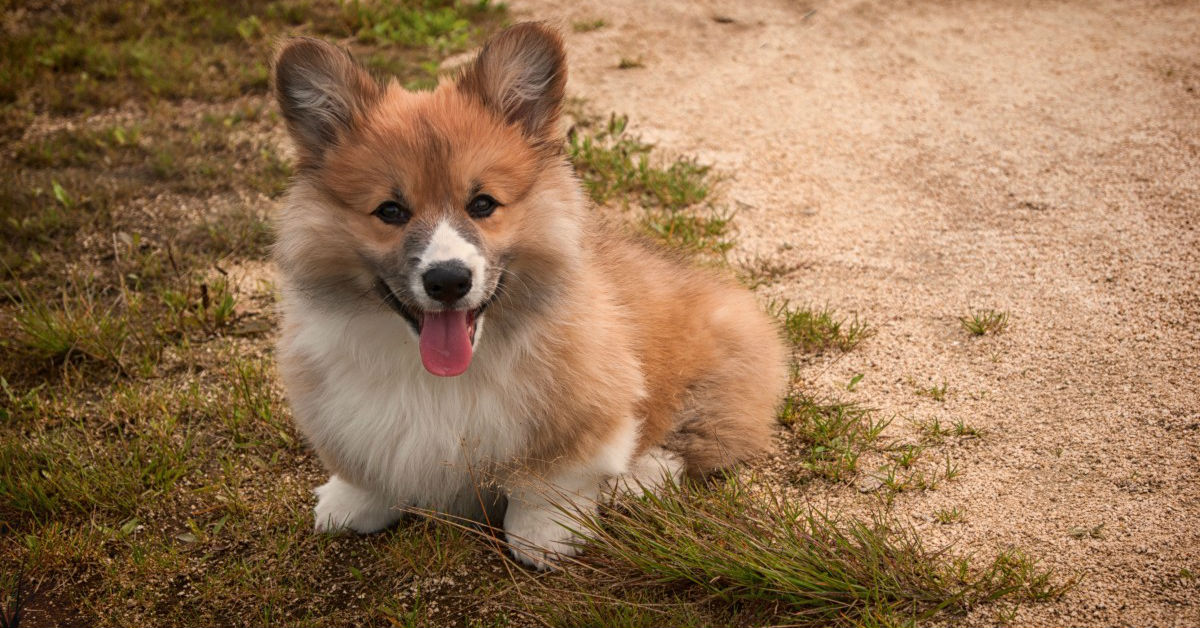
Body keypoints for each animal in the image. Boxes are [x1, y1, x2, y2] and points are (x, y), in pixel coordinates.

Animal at [270, 23, 787, 569]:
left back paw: (632, 481)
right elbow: (366, 464)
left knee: (698, 442)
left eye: (482, 204)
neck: (438, 377)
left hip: (716, 379)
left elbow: (547, 482)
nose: (448, 280)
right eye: (390, 211)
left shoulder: (588, 410)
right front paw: (352, 503)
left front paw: (545, 535)